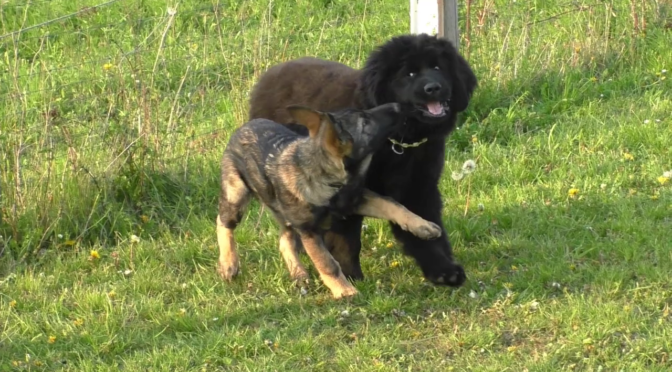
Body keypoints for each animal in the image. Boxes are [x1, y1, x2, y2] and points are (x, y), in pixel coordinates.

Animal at [218, 102, 444, 300]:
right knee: (223, 223)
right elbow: (328, 263)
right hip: (236, 194)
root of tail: (244, 127)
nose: (399, 106)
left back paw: (298, 273)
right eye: (366, 122)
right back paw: (229, 263)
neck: (328, 177)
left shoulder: (356, 199)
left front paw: (422, 225)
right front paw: (344, 291)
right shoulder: (309, 231)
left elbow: (392, 204)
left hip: (283, 213)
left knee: (284, 240)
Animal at [248, 32, 478, 288]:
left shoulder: (419, 186)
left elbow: (423, 224)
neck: (400, 142)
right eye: (409, 73)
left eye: (438, 67)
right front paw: (350, 275)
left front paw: (443, 270)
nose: (434, 88)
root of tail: (269, 74)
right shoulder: (345, 191)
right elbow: (347, 237)